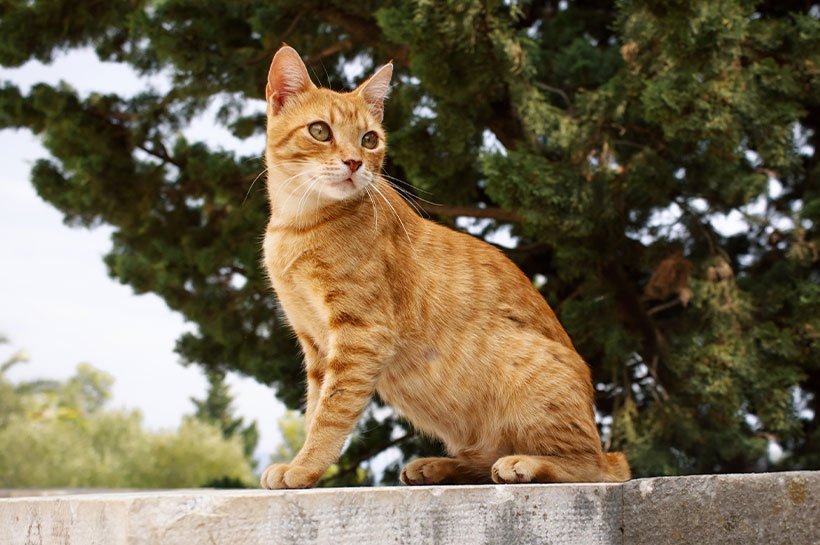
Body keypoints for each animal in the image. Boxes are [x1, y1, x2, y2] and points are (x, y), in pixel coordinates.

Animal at [260, 45, 632, 488]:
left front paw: (305, 468)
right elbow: (315, 406)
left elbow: (330, 413)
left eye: (369, 139)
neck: (298, 224)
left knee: (593, 466)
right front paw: (303, 462)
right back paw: (438, 466)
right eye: (320, 131)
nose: (353, 163)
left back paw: (525, 463)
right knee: (485, 460)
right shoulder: (315, 344)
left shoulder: (361, 335)